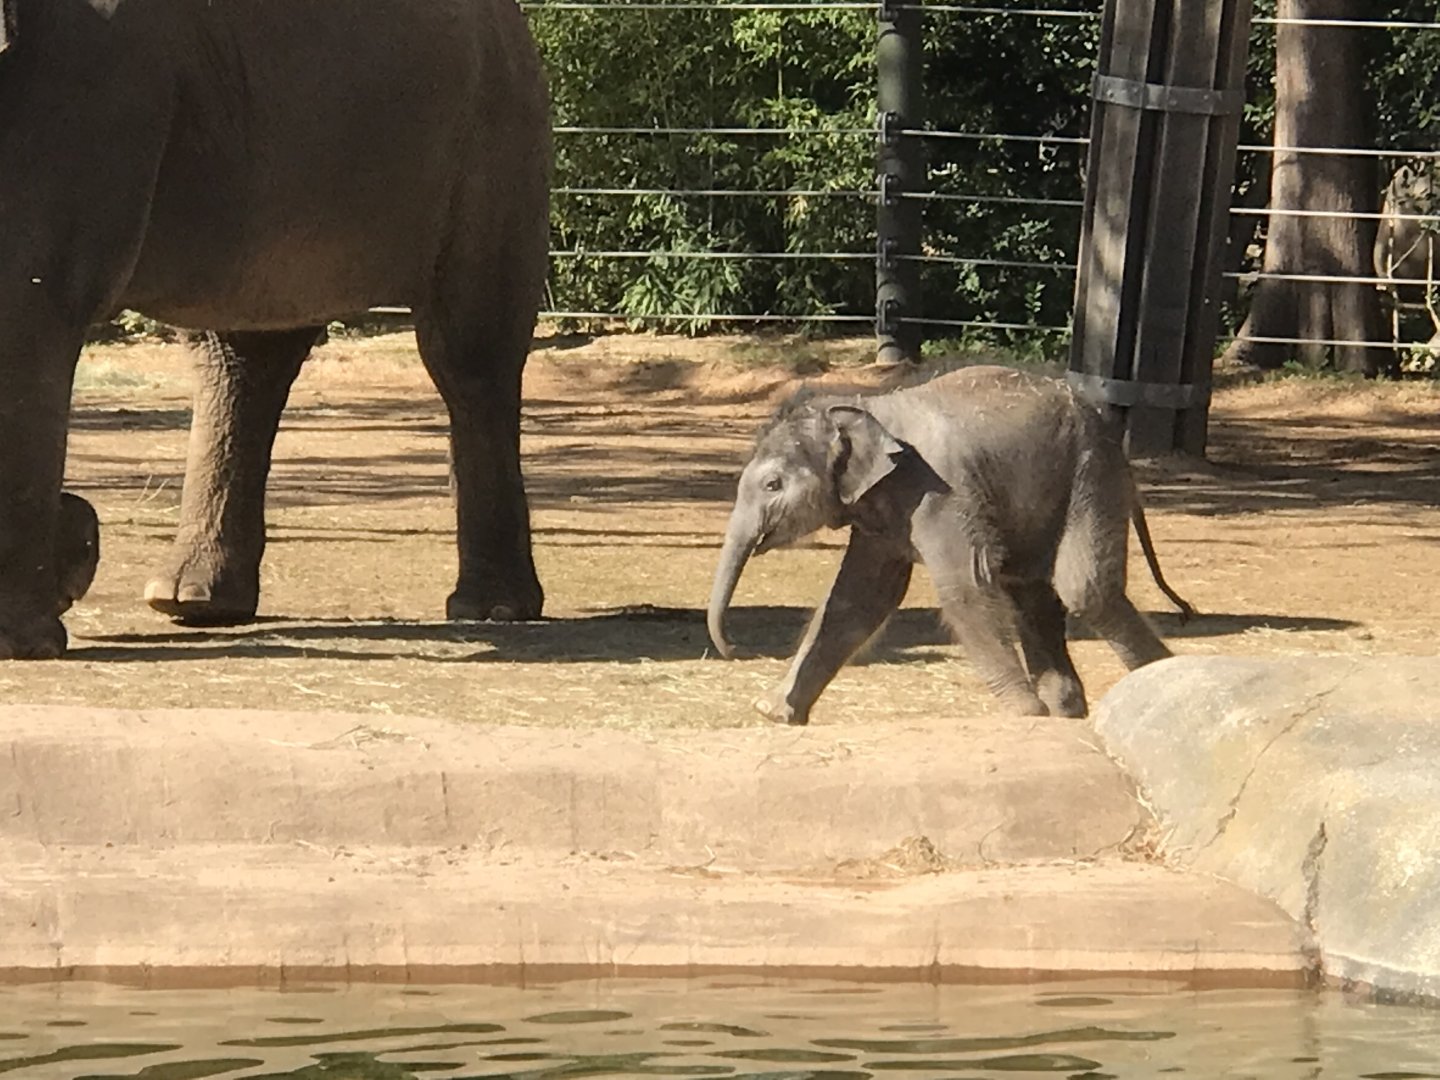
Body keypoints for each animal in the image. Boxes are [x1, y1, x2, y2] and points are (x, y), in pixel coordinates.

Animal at [0, 0, 551, 657]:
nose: (81, 538)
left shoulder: (86, 85)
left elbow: (30, 299)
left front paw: (26, 635)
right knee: (239, 353)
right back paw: (190, 601)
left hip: (494, 142)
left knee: (469, 353)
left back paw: (492, 609)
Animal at [707, 365, 1193, 723]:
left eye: (772, 484)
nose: (734, 649)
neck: (867, 406)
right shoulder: (882, 512)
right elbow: (856, 600)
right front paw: (774, 712)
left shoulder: (940, 490)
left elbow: (964, 587)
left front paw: (1024, 713)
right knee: (1033, 597)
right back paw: (1068, 711)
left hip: (1091, 475)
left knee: (1084, 589)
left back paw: (1158, 682)